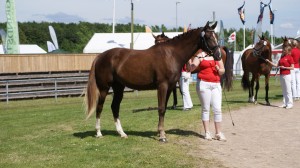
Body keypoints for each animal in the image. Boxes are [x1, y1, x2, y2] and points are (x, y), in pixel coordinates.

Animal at [84, 21, 220, 142]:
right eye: (208, 37)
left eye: (217, 37)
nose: (218, 55)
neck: (172, 54)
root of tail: (101, 56)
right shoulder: (162, 86)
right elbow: (161, 108)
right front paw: (162, 136)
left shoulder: (170, 87)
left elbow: (164, 108)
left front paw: (160, 132)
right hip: (104, 88)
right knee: (100, 107)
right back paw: (98, 133)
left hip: (118, 88)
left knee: (115, 107)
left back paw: (121, 133)